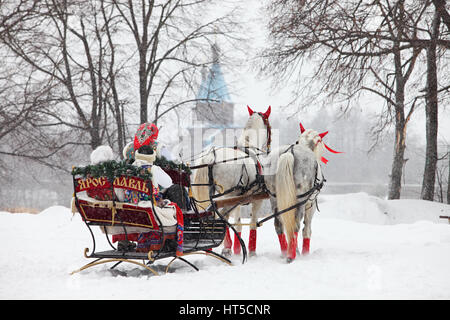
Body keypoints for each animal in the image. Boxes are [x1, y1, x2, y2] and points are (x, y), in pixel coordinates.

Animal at [190, 105, 270, 258]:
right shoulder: (255, 198)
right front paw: (249, 251)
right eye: (269, 126)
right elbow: (251, 222)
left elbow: (237, 222)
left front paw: (237, 248)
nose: (268, 149)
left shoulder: (238, 198)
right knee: (223, 216)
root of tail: (211, 157)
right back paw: (226, 248)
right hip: (227, 194)